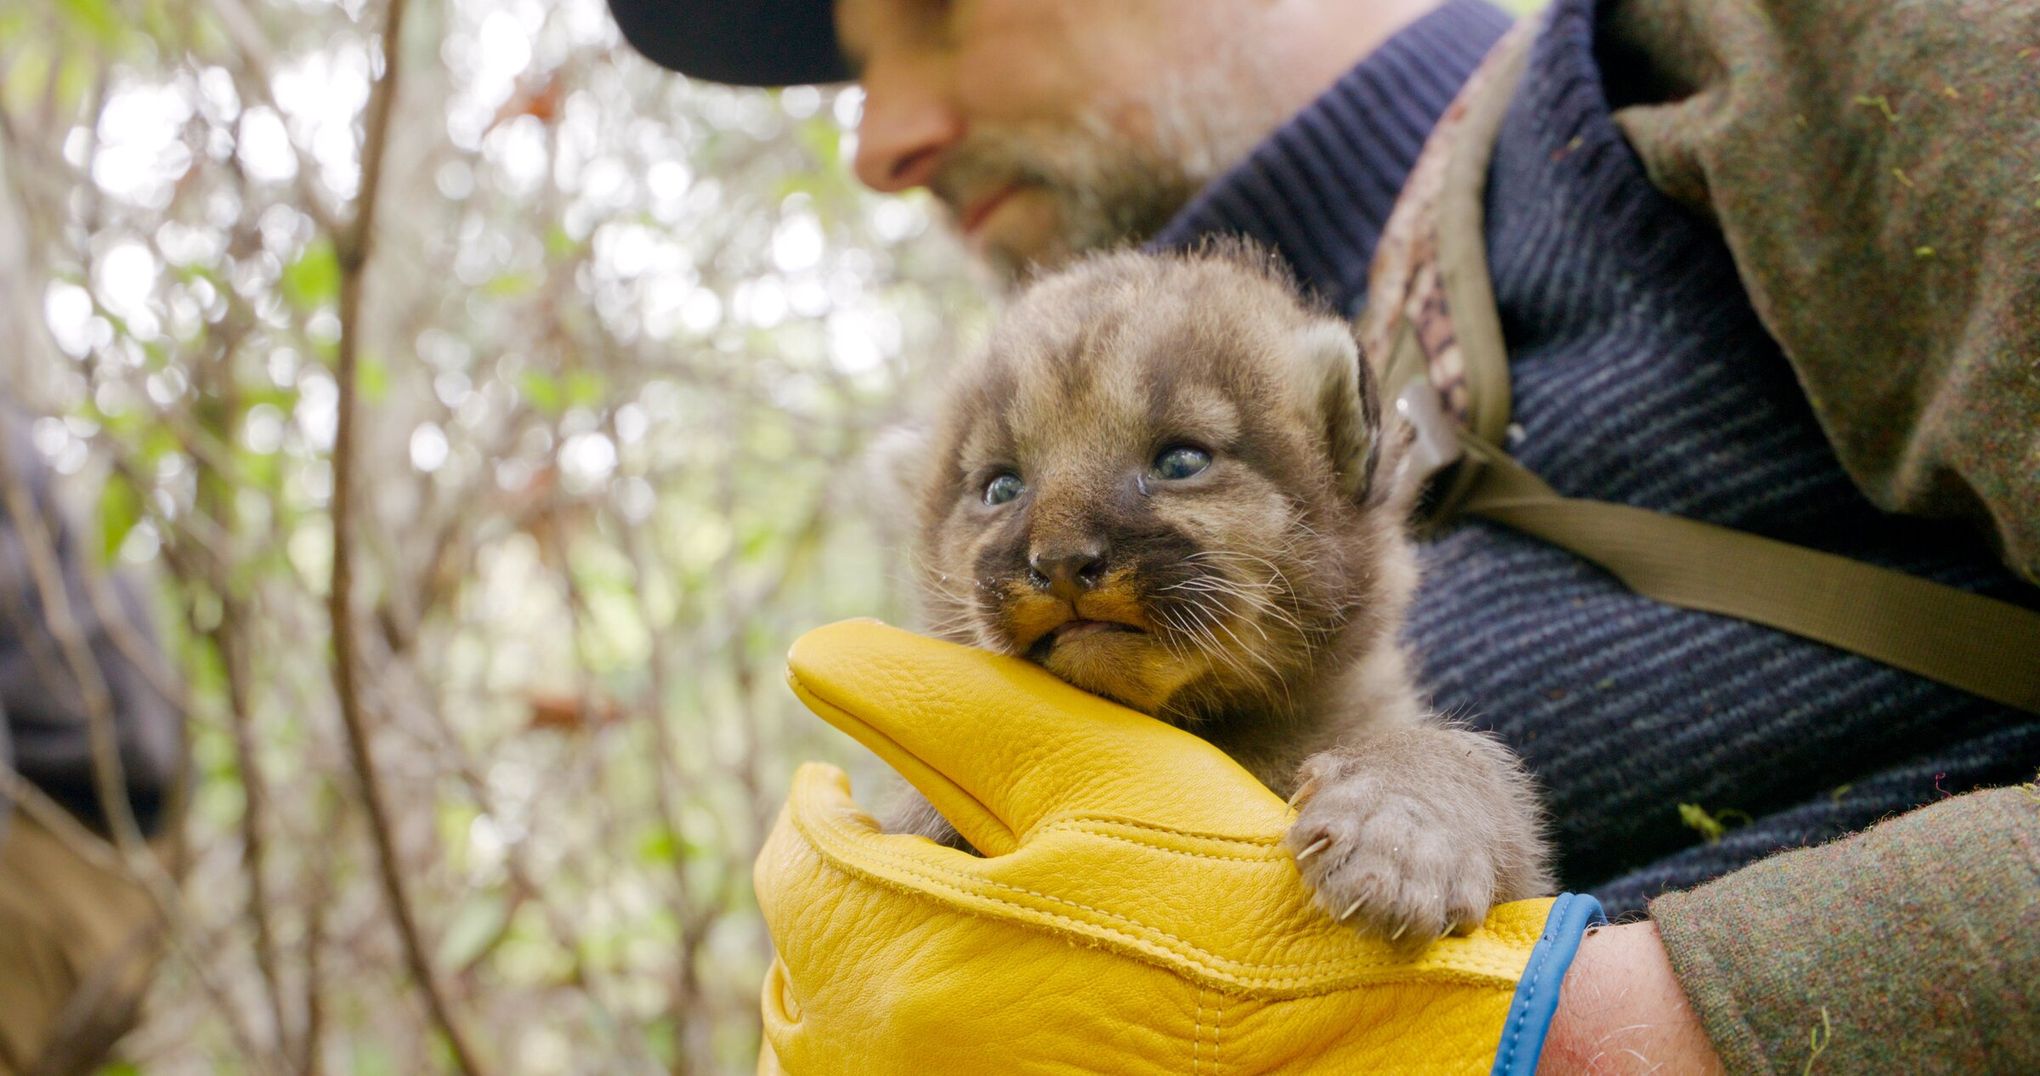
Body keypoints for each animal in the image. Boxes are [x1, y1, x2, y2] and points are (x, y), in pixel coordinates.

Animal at [885, 246, 1550, 943]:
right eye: (1001, 487)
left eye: (1182, 461)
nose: (1061, 561)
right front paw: (927, 814)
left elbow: (1455, 752)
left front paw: (1401, 832)